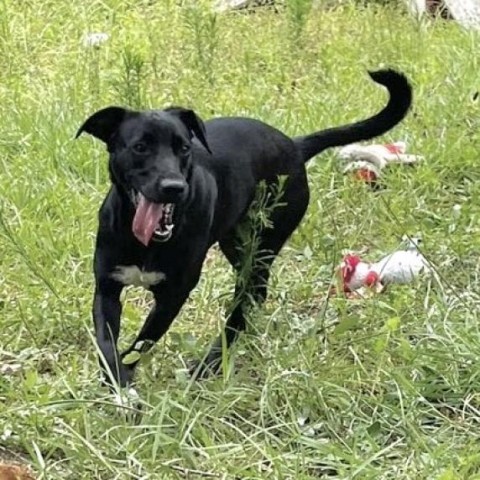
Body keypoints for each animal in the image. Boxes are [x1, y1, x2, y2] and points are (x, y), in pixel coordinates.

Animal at [77, 69, 410, 388]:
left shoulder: (174, 294)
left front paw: (125, 380)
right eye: (140, 147)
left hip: (262, 243)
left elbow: (142, 340)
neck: (147, 243)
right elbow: (107, 344)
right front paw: (116, 380)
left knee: (248, 296)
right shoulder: (107, 287)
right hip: (237, 243)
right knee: (254, 294)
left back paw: (213, 359)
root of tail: (293, 145)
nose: (174, 187)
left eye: (183, 148)